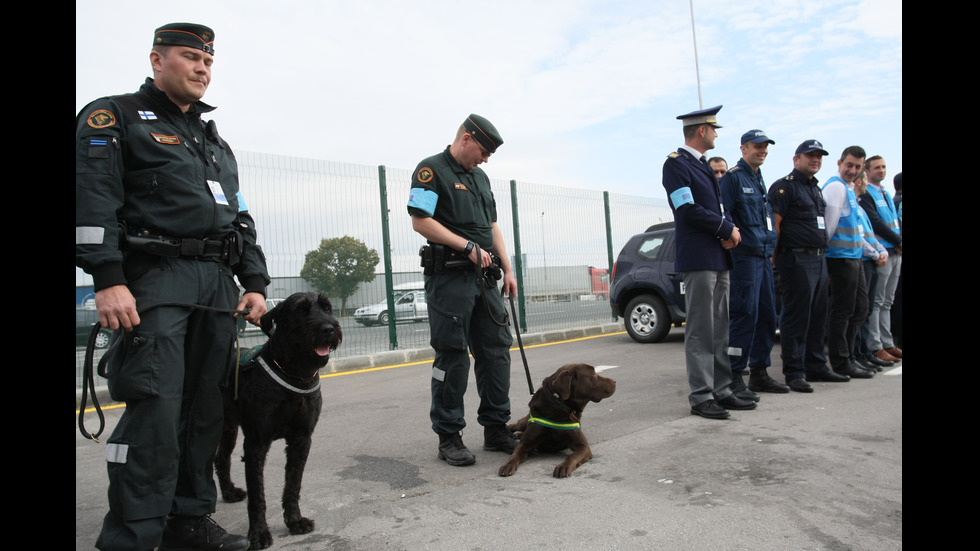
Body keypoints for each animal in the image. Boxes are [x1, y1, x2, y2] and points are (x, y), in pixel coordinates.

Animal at [213, 292, 340, 548]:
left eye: (327, 307)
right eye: (301, 310)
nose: (329, 329)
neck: (294, 371)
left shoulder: (301, 438)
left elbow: (293, 483)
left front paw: (295, 521)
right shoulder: (256, 443)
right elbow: (257, 495)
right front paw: (258, 533)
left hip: (229, 428)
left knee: (221, 459)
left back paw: (229, 493)